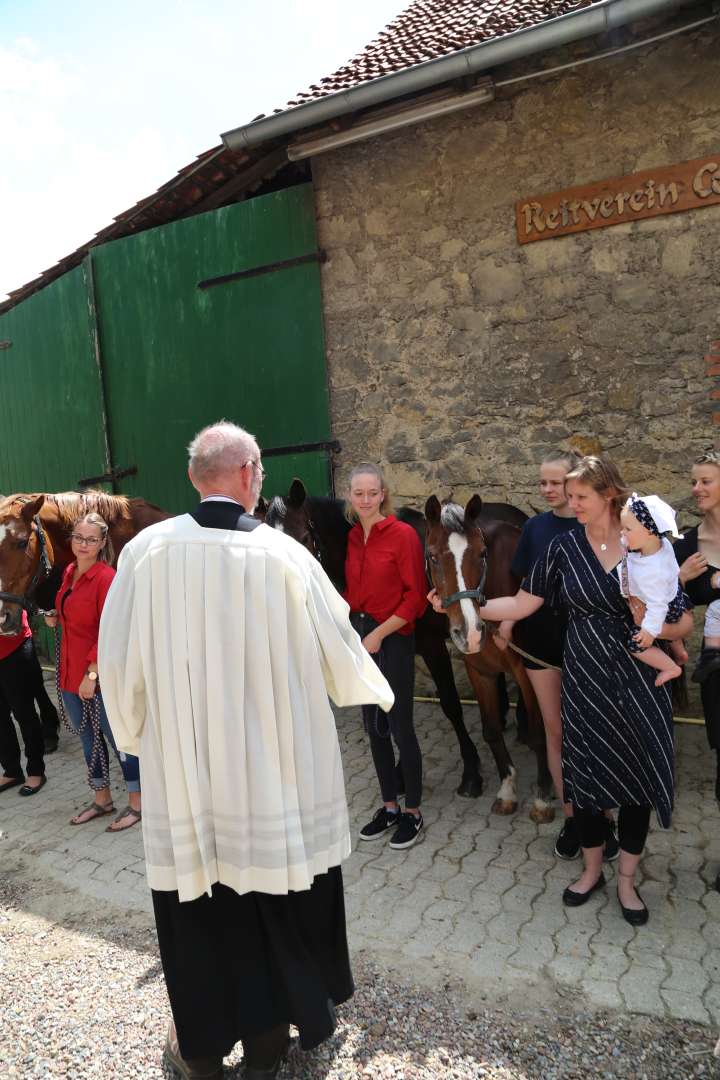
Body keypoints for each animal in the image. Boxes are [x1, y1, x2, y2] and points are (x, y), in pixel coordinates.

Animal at [425, 494, 557, 816]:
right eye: (432, 556)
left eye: (482, 553)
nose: (469, 631)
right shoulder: (479, 671)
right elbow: (492, 730)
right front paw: (507, 788)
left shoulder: (526, 670)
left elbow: (540, 733)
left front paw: (542, 794)